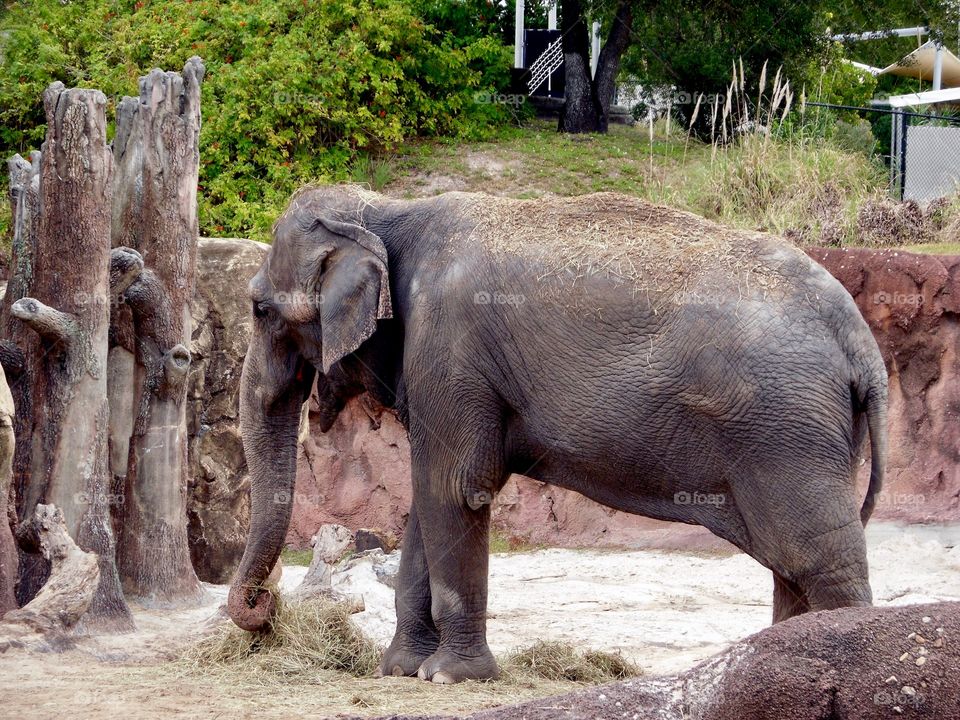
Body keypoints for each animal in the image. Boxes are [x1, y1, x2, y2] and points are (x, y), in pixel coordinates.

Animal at [227, 186, 888, 685]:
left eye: (260, 309)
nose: (267, 609)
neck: (385, 210)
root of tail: (861, 340)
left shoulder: (450, 351)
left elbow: (455, 488)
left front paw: (451, 677)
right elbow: (430, 498)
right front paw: (402, 670)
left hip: (787, 427)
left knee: (815, 552)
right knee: (791, 560)